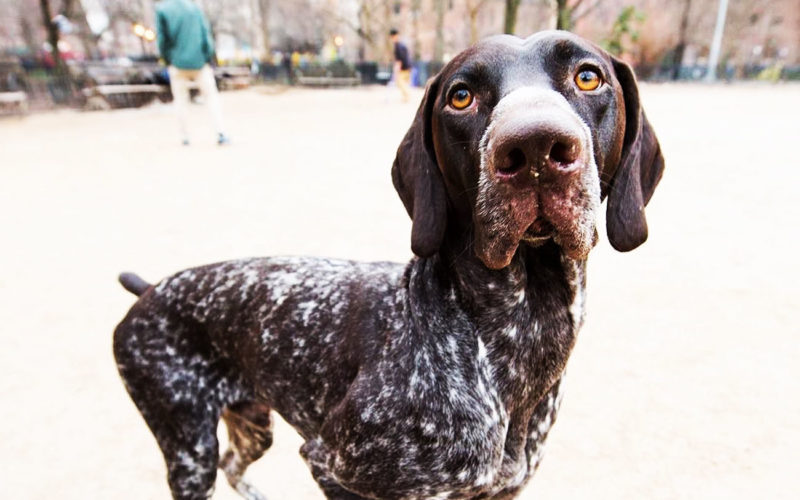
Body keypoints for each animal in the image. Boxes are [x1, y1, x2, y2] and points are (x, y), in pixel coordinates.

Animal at [112, 31, 664, 500]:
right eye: (460, 96)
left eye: (588, 77)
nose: (534, 148)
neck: (519, 330)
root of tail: (151, 290)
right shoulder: (330, 463)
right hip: (189, 448)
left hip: (252, 425)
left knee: (234, 464)